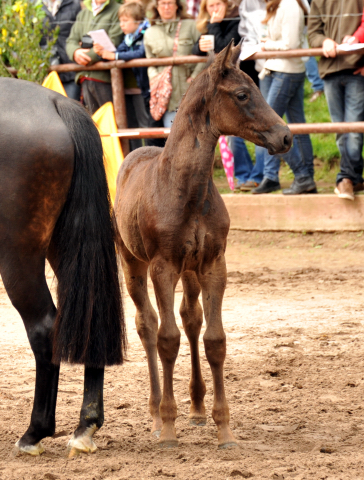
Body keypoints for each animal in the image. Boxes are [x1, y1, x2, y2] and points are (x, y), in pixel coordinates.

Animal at [0, 77, 126, 456]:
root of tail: (57, 104)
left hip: (18, 254)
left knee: (44, 328)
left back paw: (34, 433)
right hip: (66, 244)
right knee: (92, 318)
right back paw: (85, 426)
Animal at [115, 41, 292, 450]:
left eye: (257, 87)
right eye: (242, 94)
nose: (286, 137)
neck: (186, 191)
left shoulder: (213, 264)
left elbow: (214, 340)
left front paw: (224, 429)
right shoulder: (163, 267)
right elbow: (166, 338)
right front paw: (168, 428)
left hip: (191, 271)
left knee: (191, 318)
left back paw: (195, 409)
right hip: (133, 264)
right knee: (147, 324)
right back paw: (154, 413)